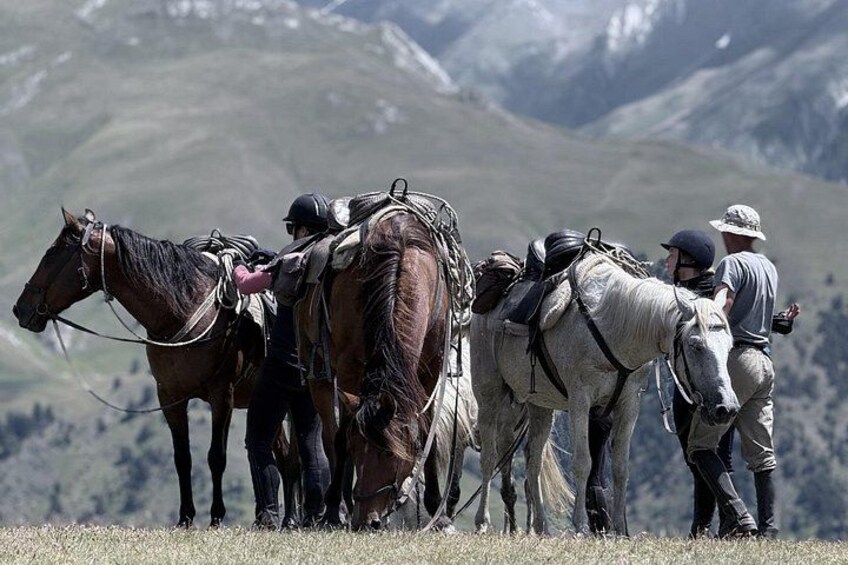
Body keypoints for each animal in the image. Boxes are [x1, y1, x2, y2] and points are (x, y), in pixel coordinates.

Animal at [13, 208, 274, 528]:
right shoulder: (170, 397)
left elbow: (216, 457)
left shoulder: (221, 396)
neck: (182, 311)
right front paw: (185, 518)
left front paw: (215, 518)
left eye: (52, 254)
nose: (20, 309)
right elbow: (182, 458)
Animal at [472, 253, 739, 535]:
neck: (613, 327)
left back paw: (541, 528)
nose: (726, 408)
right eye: (695, 345)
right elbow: (583, 463)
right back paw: (483, 521)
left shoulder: (629, 404)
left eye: (729, 345)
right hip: (489, 394)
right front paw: (579, 525)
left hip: (540, 406)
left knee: (534, 462)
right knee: (489, 457)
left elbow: (621, 468)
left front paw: (620, 530)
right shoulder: (580, 401)